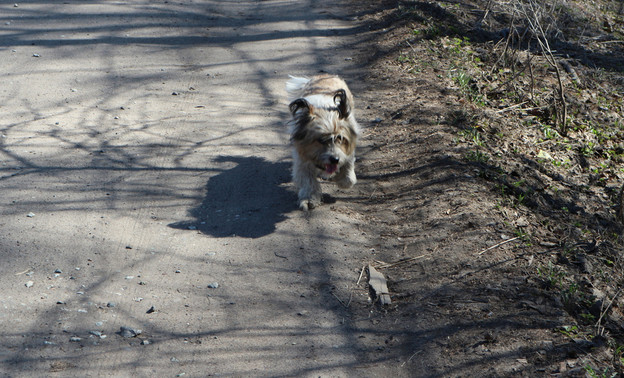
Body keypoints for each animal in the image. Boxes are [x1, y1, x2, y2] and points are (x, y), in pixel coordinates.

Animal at [284, 74, 358, 210]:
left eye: (340, 138)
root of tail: (323, 75)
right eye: (320, 140)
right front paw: (309, 198)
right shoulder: (302, 158)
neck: (325, 113)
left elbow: (348, 174)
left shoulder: (349, 147)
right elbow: (307, 179)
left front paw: (342, 178)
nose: (335, 159)